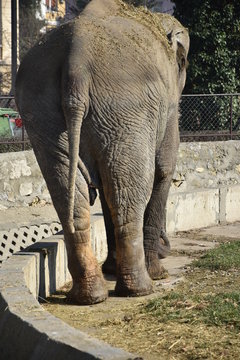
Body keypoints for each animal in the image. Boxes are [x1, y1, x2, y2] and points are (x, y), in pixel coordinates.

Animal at [15, 0, 189, 304]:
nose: (167, 246)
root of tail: (77, 61)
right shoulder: (167, 107)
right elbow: (163, 169)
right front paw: (159, 274)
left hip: (43, 111)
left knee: (74, 193)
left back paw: (89, 296)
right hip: (126, 106)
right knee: (128, 192)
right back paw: (140, 289)